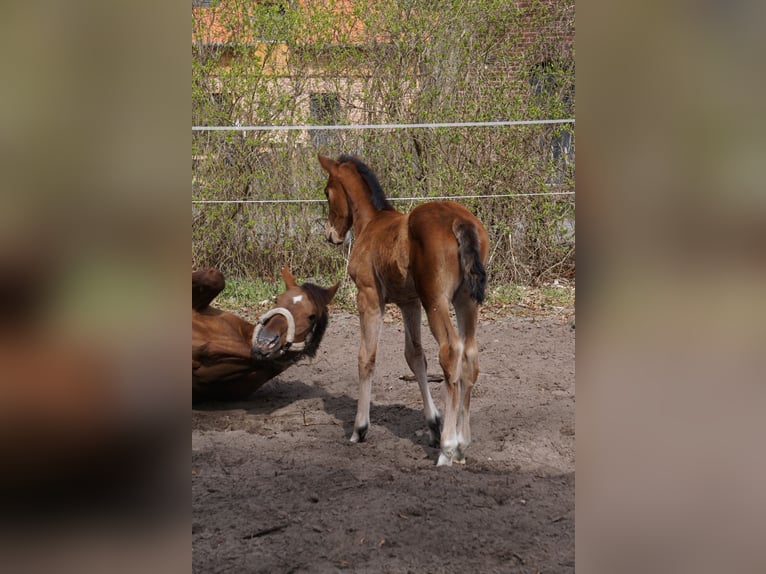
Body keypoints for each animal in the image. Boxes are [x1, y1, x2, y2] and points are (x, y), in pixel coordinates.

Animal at [318, 154, 489, 466]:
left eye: (327, 192)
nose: (330, 235)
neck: (371, 223)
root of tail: (460, 221)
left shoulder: (369, 297)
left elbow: (366, 357)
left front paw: (359, 428)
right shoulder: (409, 302)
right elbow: (415, 357)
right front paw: (432, 424)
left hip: (436, 300)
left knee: (451, 351)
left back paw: (448, 448)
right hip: (465, 301)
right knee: (470, 354)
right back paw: (462, 446)